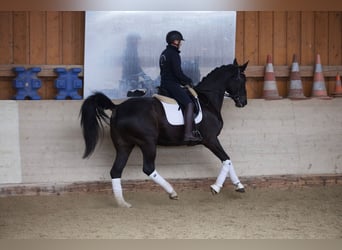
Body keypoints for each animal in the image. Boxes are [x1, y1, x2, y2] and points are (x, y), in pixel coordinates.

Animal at [80, 58, 248, 207]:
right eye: (242, 80)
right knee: (148, 168)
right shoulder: (210, 139)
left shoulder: (211, 140)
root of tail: (117, 108)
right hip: (148, 143)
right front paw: (217, 188)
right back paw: (172, 192)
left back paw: (123, 203)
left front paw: (238, 186)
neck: (207, 101)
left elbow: (228, 160)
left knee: (116, 171)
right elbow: (226, 159)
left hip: (124, 146)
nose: (243, 102)